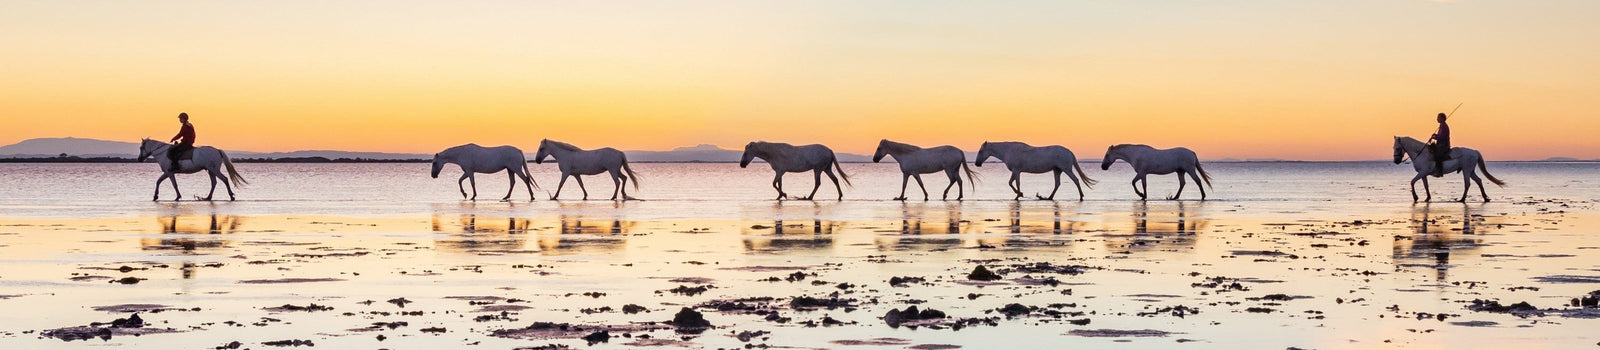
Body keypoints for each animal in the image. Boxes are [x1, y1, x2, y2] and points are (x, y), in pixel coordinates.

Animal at [972, 141, 1100, 199]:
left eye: (980, 151)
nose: (977, 163)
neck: (1008, 151)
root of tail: (1069, 152)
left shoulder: (1016, 171)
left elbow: (1015, 183)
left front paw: (1019, 194)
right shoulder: (1016, 171)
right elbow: (1012, 183)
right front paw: (1020, 193)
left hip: (1066, 169)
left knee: (1076, 180)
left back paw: (1081, 196)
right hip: (1057, 170)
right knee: (1057, 184)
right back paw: (1049, 197)